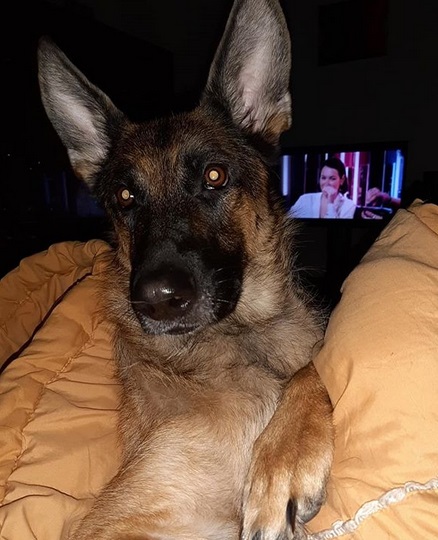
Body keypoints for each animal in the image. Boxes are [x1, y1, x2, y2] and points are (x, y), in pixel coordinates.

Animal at [37, 0, 334, 536]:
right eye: (125, 197)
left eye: (214, 176)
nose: (156, 300)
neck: (242, 340)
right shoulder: (119, 521)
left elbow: (311, 366)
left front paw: (282, 457)